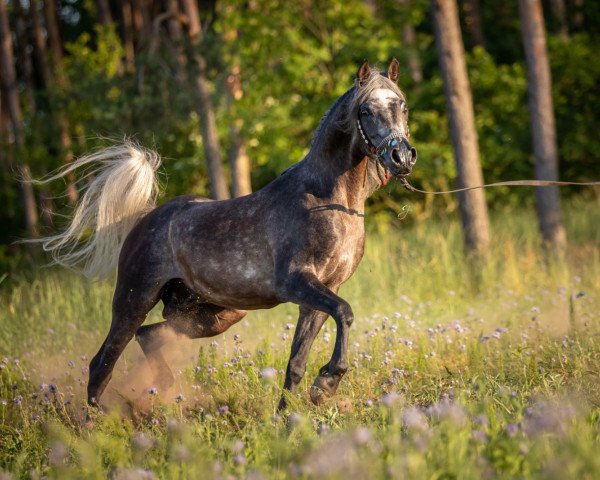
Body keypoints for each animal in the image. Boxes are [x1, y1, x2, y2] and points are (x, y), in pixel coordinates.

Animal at [39, 59, 418, 408]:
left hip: (209, 313)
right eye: (365, 110)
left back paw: (164, 390)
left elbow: (297, 362)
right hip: (134, 301)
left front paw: (291, 416)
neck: (326, 200)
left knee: (148, 336)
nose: (401, 156)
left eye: (402, 105)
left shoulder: (324, 290)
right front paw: (327, 383)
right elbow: (345, 312)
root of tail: (145, 219)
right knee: (102, 364)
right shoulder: (297, 283)